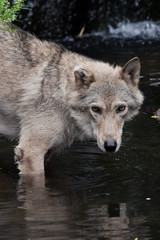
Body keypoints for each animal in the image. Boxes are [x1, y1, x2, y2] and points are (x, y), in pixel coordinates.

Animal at [0, 23, 144, 174]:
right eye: (95, 109)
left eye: (121, 108)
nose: (110, 146)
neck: (63, 98)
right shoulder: (31, 152)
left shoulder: (49, 153)